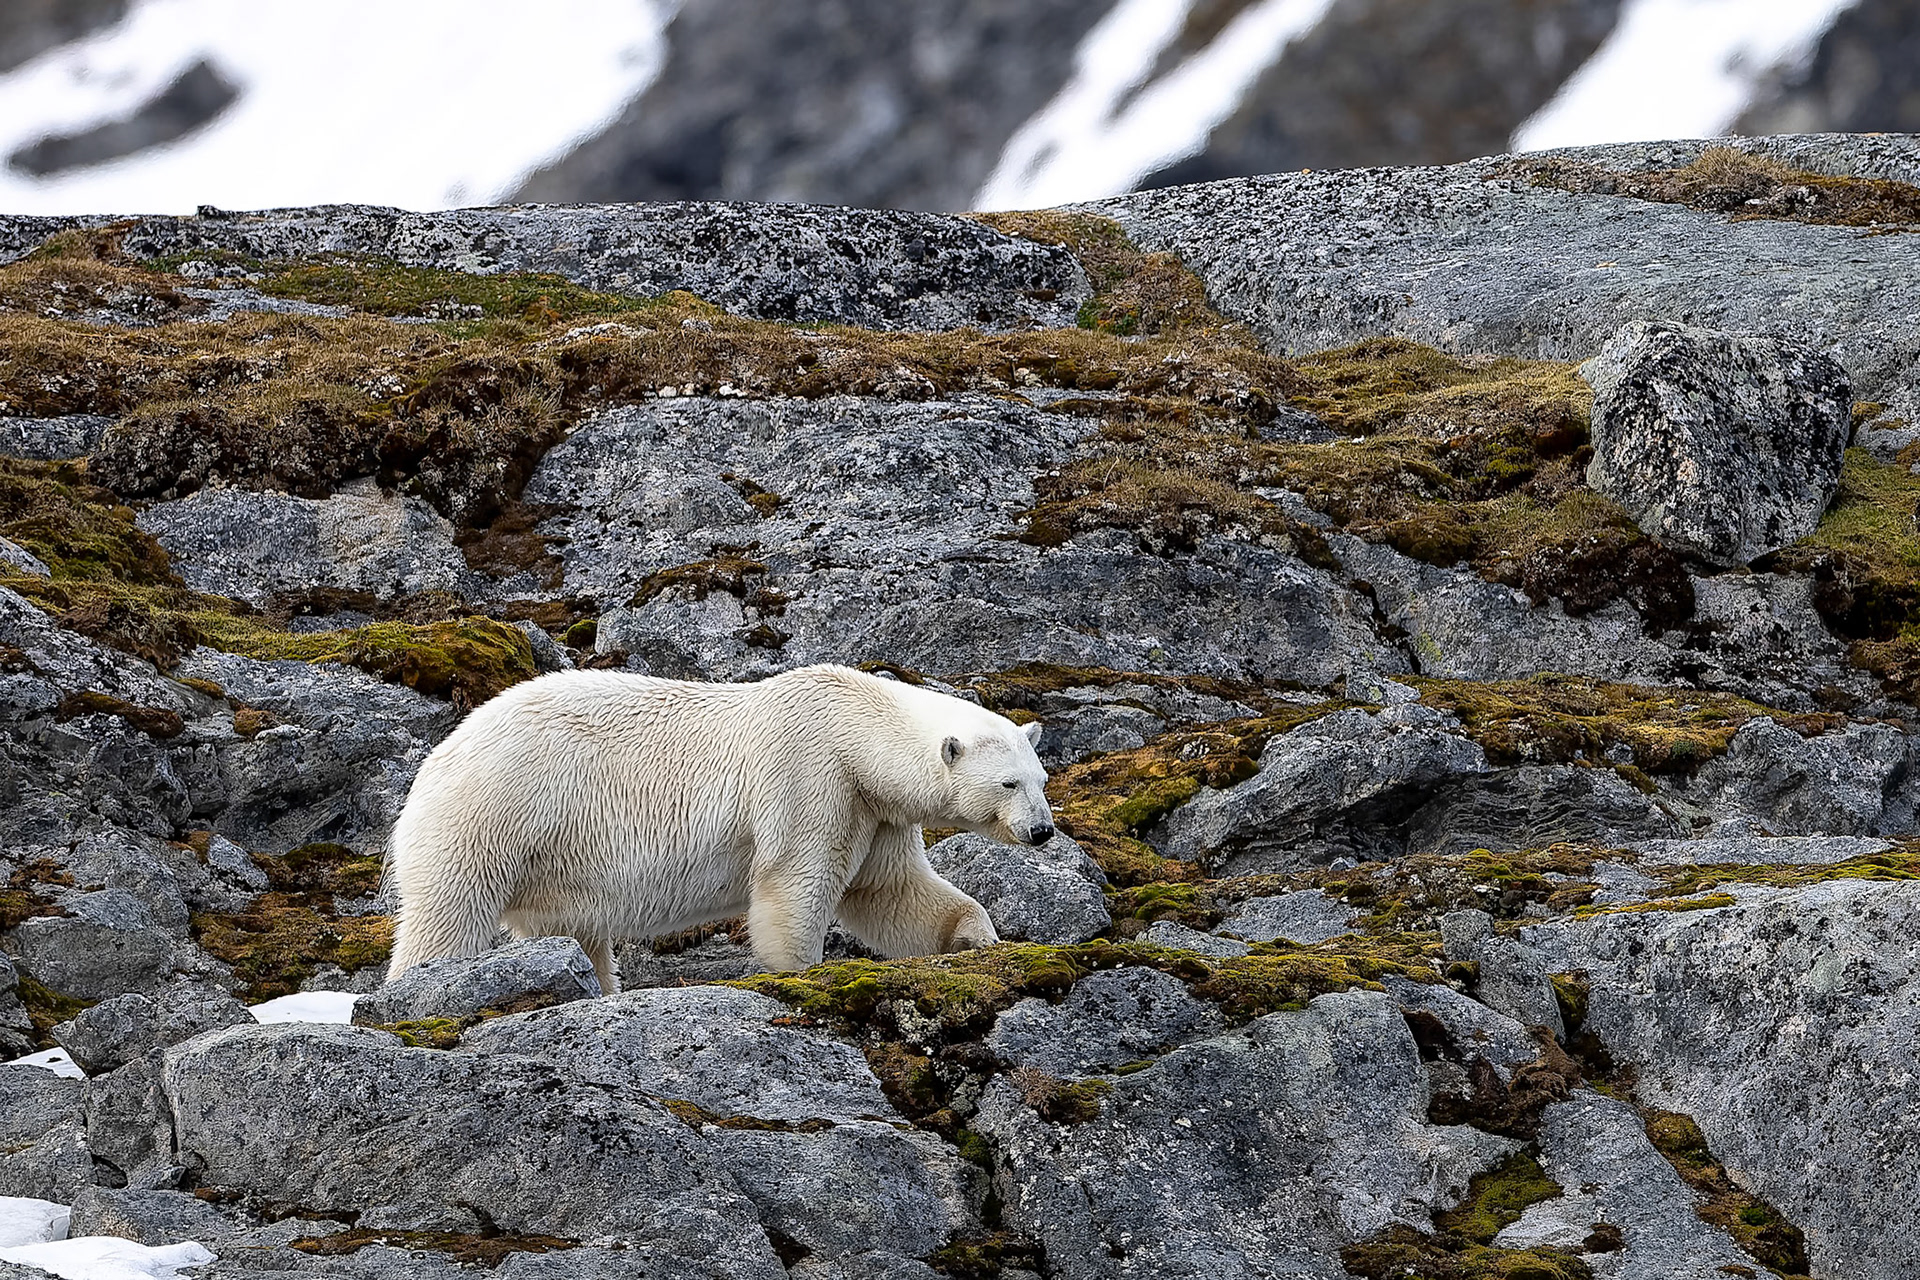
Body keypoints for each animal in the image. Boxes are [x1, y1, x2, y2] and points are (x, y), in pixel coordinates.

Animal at [383, 663, 1053, 993]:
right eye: (1008, 784)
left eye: (1041, 777)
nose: (1043, 832)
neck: (857, 731)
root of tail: (436, 759)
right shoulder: (811, 777)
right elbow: (794, 885)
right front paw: (799, 970)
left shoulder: (875, 811)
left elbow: (889, 891)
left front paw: (976, 936)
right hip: (497, 813)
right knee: (447, 916)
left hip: (554, 861)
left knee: (574, 931)